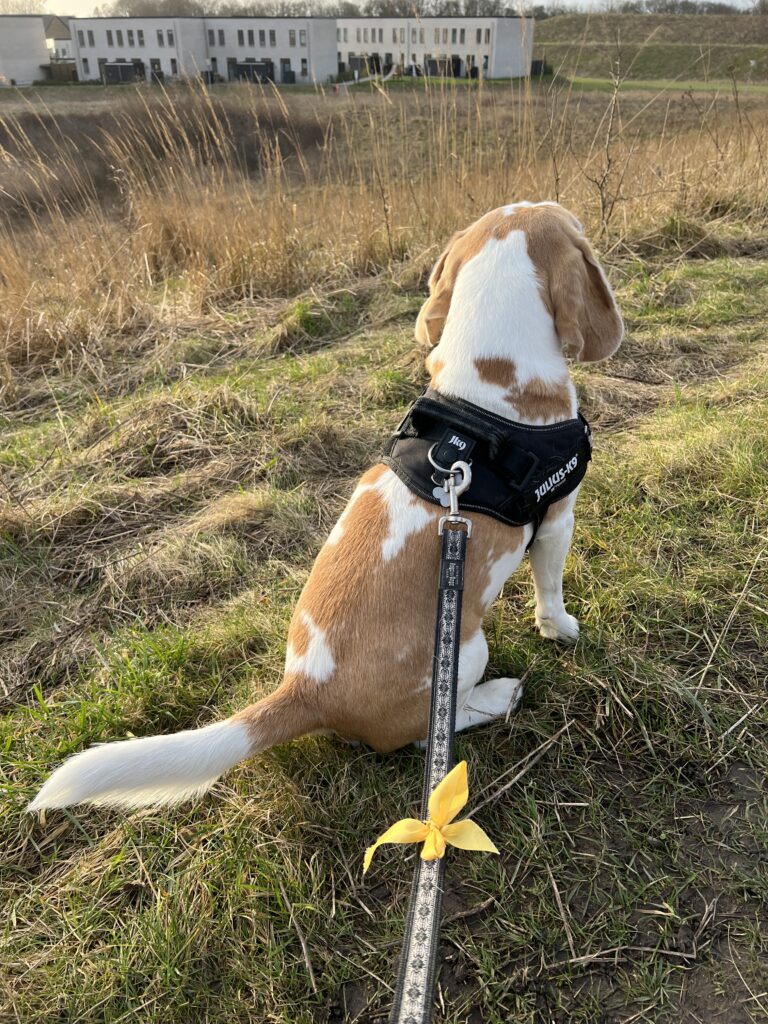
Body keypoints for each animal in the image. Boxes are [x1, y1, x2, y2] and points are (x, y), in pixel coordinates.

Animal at [28, 199, 626, 811]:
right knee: (426, 736)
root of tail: (305, 690)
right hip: (466, 651)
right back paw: (499, 696)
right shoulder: (556, 523)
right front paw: (561, 629)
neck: (484, 391)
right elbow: (550, 592)